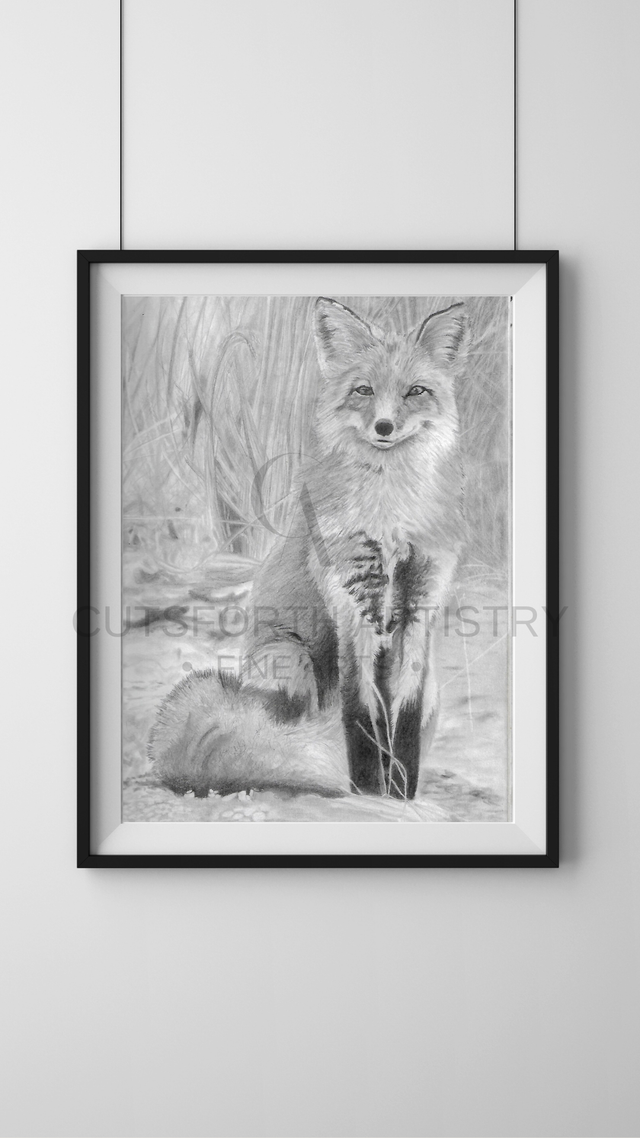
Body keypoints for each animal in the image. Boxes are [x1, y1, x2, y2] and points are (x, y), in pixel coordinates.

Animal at [149, 296, 468, 801]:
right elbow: (361, 714)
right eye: (363, 390)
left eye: (415, 391)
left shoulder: (421, 605)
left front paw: (401, 794)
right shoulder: (352, 605)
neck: (390, 519)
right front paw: (368, 792)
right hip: (290, 662)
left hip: (429, 682)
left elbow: (405, 716)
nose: (384, 426)